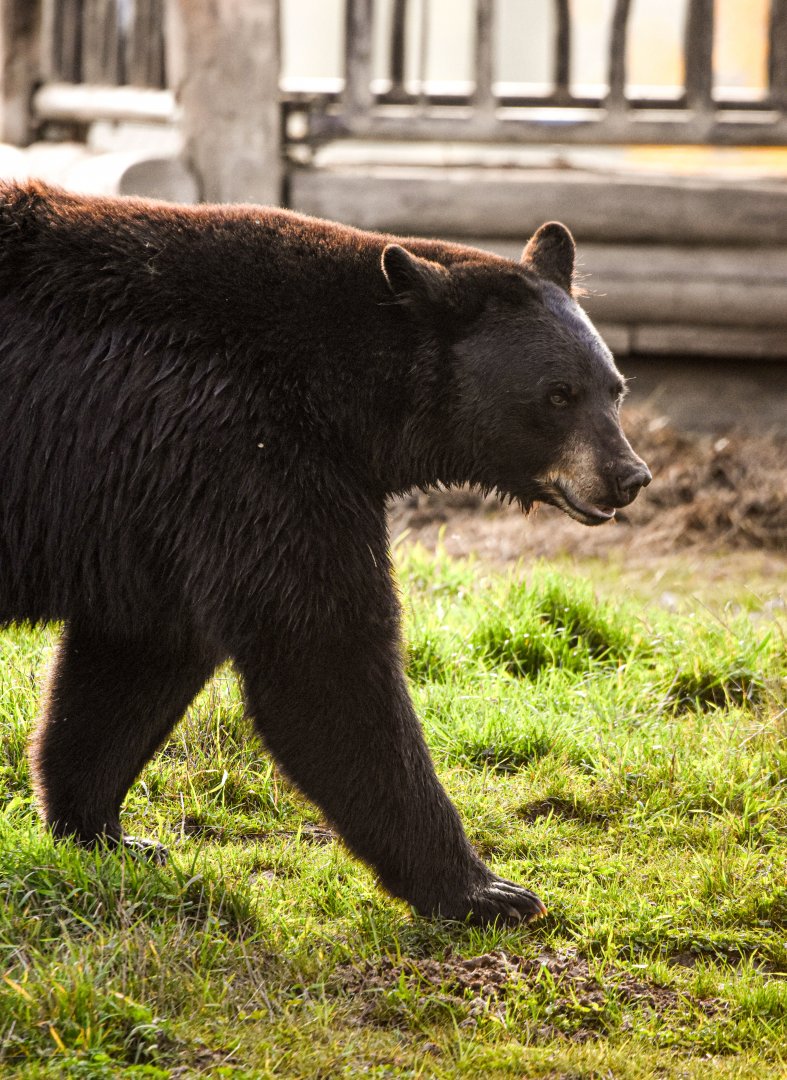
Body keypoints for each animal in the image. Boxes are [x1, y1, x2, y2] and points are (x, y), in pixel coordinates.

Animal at [0, 180, 650, 924]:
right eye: (556, 394)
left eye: (614, 387)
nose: (627, 476)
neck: (348, 388)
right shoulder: (252, 455)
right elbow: (322, 652)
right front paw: (483, 890)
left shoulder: (161, 503)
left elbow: (137, 656)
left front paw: (107, 832)